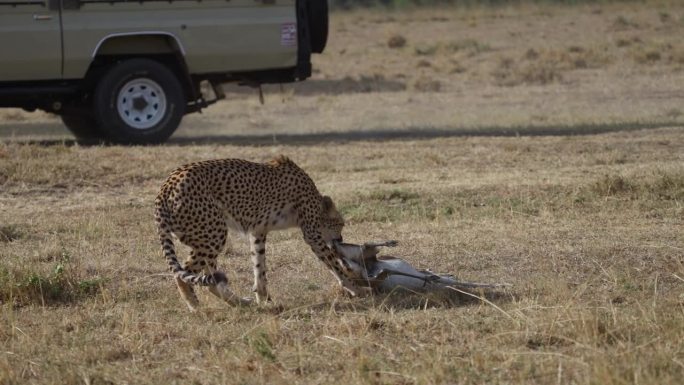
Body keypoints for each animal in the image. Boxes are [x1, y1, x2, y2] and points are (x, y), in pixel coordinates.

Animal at [155, 155, 368, 308]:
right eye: (340, 224)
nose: (340, 238)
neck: (314, 198)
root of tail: (166, 186)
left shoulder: (257, 232)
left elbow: (259, 265)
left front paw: (263, 296)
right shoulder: (312, 234)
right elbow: (334, 264)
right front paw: (356, 288)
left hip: (207, 238)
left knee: (211, 278)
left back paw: (240, 303)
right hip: (214, 235)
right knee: (182, 274)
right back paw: (195, 307)